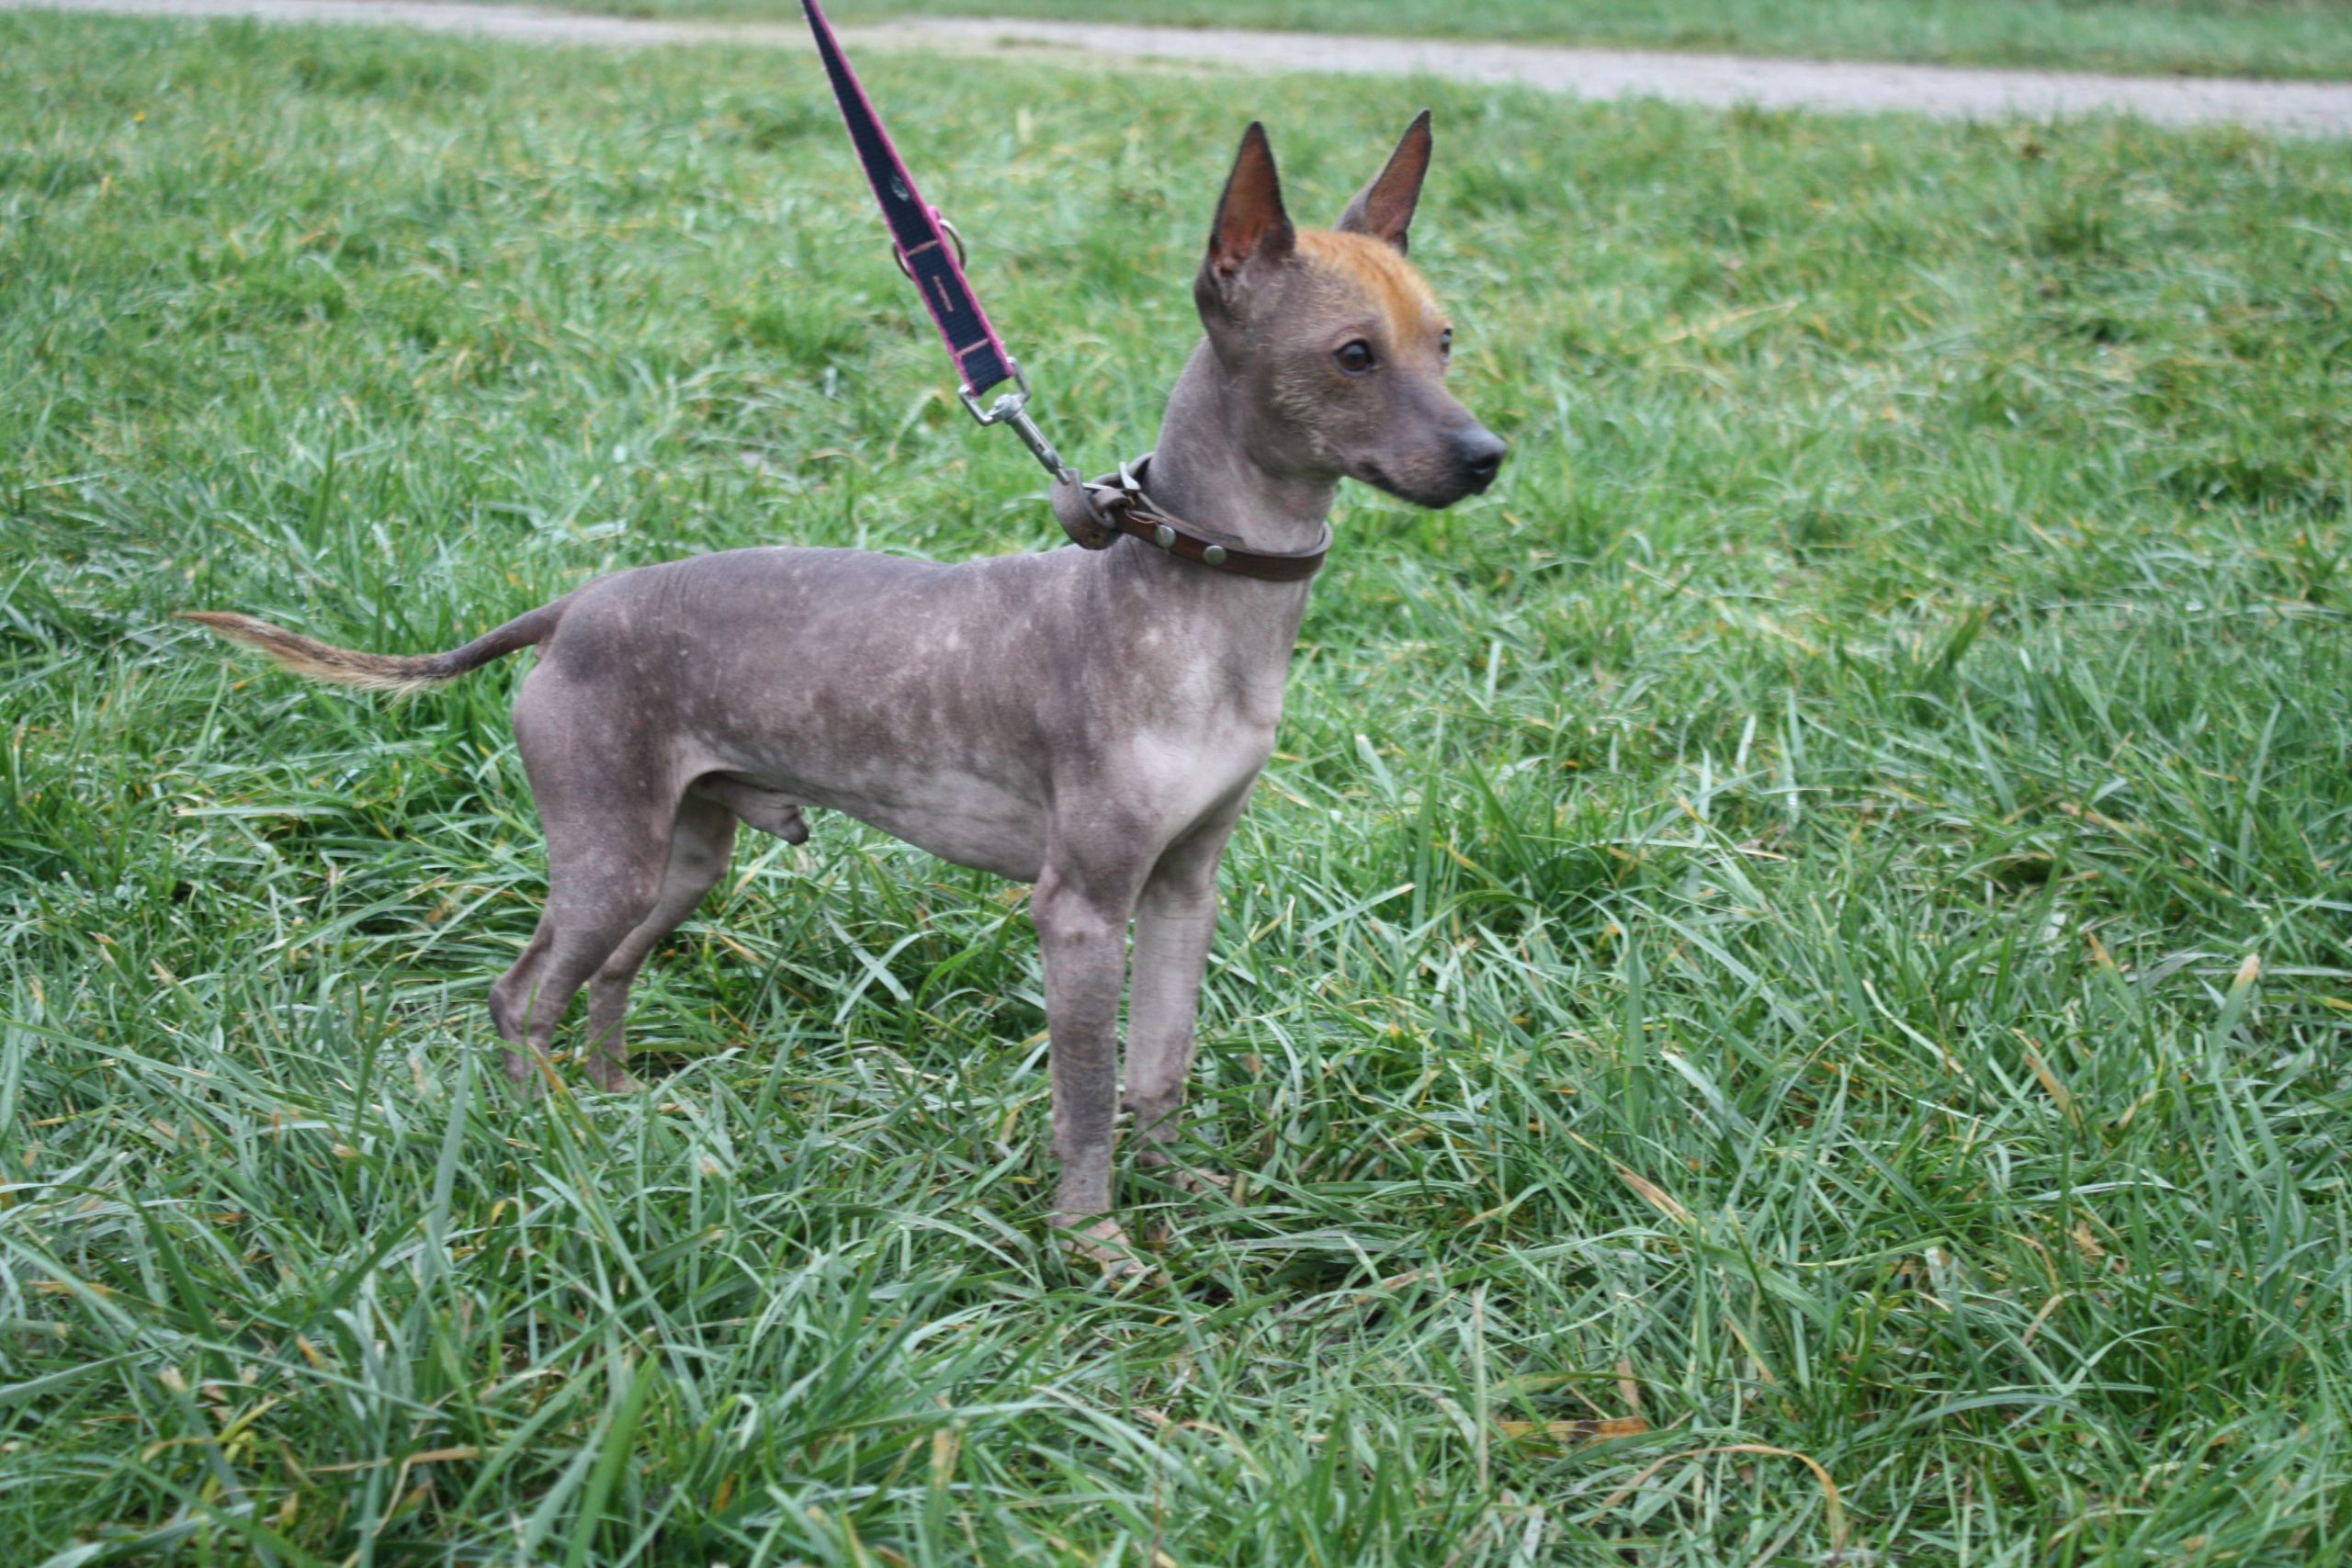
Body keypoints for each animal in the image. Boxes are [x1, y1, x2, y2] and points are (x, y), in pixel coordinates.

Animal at [187, 114, 1505, 1268]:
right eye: (1352, 355)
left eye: (1444, 341)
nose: (1489, 456)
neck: (1193, 598)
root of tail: (571, 608)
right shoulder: (1079, 911)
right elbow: (1085, 1092)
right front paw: (1097, 1243)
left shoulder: (1185, 888)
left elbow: (1161, 1064)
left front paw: (1179, 1191)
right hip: (609, 857)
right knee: (522, 997)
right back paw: (543, 1144)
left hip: (682, 859)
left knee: (608, 974)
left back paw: (615, 1110)